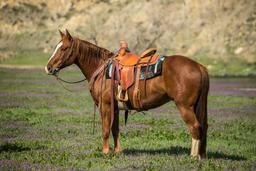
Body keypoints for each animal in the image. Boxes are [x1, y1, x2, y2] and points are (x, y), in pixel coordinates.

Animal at [45, 30, 210, 160]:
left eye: (64, 48)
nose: (48, 67)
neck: (102, 69)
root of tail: (199, 66)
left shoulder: (105, 106)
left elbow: (105, 129)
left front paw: (105, 152)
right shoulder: (115, 108)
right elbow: (115, 129)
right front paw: (118, 151)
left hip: (185, 106)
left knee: (195, 127)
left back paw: (193, 156)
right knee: (203, 127)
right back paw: (200, 155)